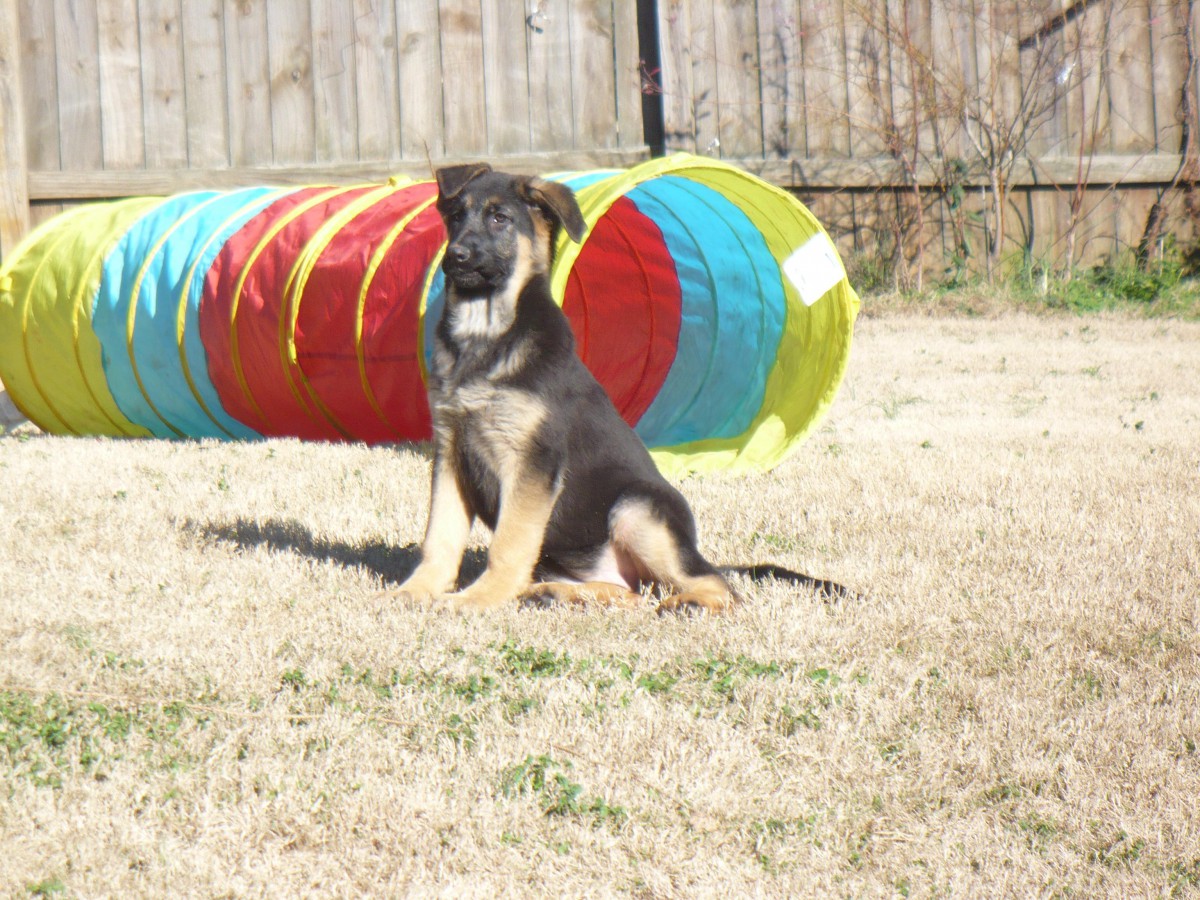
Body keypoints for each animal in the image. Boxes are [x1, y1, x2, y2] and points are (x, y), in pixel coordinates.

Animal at [388, 162, 739, 619]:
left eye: (499, 218)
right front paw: (417, 590)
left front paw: (480, 597)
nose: (455, 257)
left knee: (718, 585)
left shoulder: (533, 462)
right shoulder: (450, 453)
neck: (485, 334)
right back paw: (557, 593)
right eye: (455, 217)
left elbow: (509, 542)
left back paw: (690, 601)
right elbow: (439, 536)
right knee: (630, 592)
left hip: (637, 509)